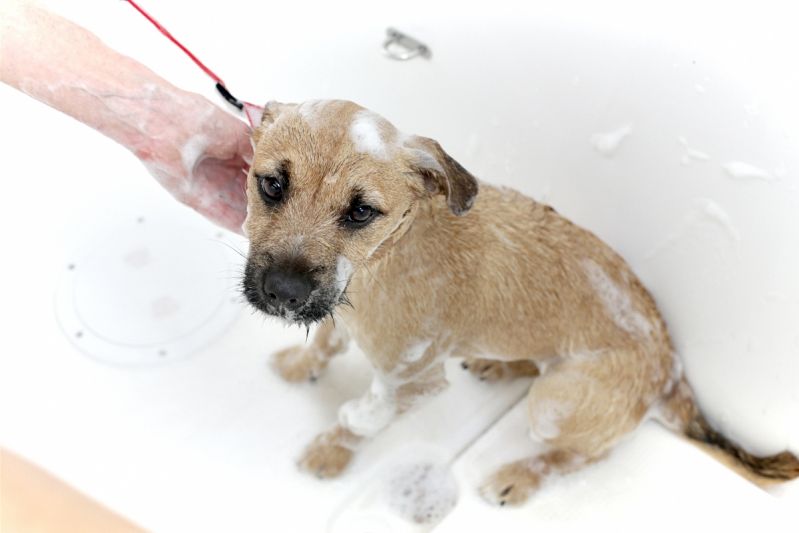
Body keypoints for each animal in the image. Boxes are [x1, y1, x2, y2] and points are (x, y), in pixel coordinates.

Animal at [242, 98, 799, 502]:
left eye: (361, 212)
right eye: (272, 184)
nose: (283, 294)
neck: (384, 260)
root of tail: (672, 373)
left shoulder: (410, 382)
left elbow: (359, 420)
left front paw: (330, 453)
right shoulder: (337, 310)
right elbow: (325, 342)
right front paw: (299, 364)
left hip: (554, 402)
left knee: (582, 455)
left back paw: (521, 475)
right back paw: (500, 365)